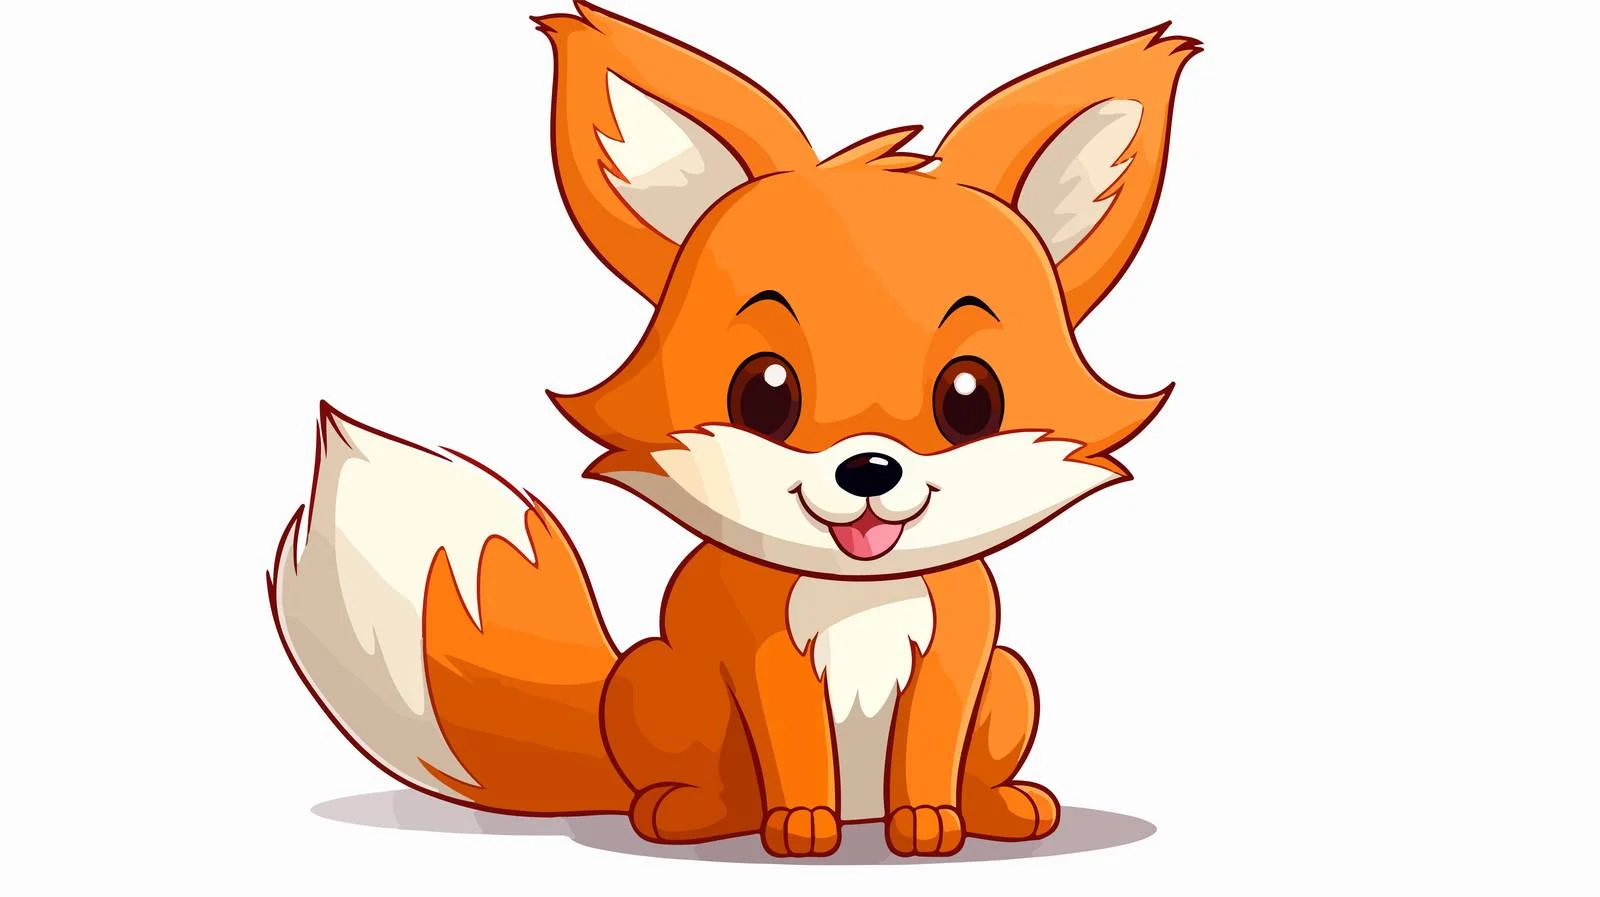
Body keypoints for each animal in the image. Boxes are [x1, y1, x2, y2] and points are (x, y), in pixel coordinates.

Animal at [268, 3, 1198, 858]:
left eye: (970, 398)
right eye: (764, 392)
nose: (869, 469)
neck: (859, 593)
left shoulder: (961, 656)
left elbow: (930, 753)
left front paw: (933, 822)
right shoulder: (766, 657)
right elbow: (795, 748)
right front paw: (802, 824)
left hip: (1013, 681)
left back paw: (999, 807)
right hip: (657, 679)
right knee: (700, 784)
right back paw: (696, 813)